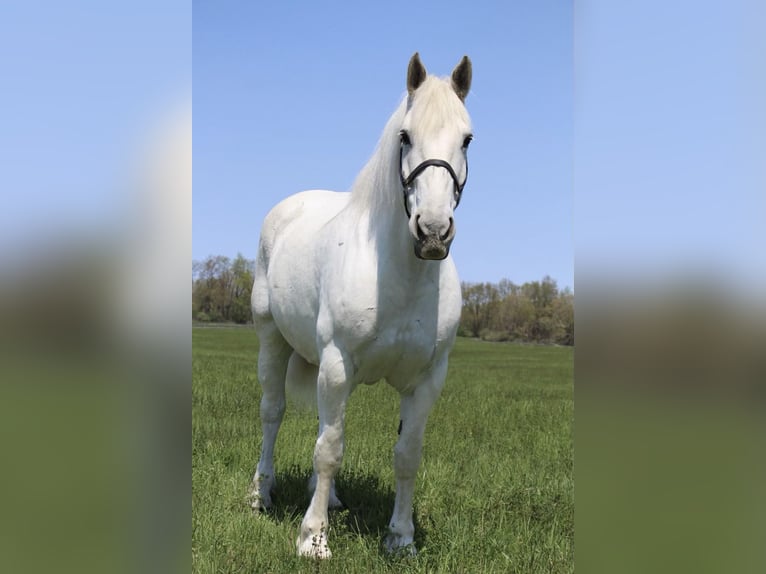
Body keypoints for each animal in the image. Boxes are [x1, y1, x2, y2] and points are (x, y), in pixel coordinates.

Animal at [250, 53, 474, 560]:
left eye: (467, 138)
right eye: (405, 135)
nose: (433, 232)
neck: (399, 277)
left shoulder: (427, 379)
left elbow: (406, 454)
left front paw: (401, 537)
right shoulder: (337, 364)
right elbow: (329, 449)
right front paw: (313, 539)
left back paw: (329, 498)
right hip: (273, 340)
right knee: (273, 413)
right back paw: (261, 494)